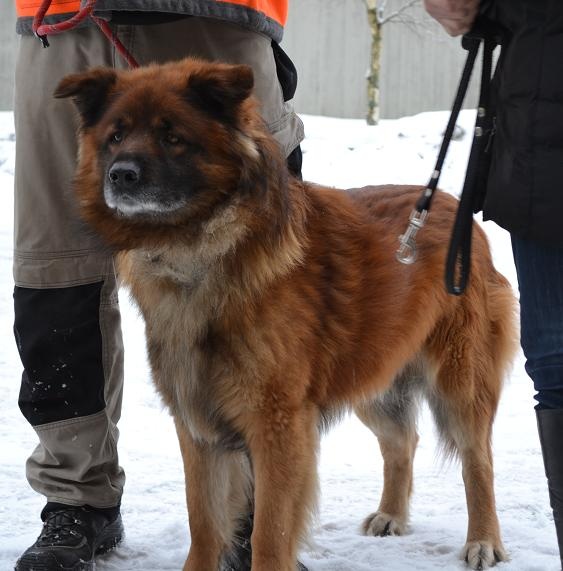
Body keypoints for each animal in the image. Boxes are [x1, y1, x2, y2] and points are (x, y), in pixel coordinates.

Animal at [55, 58, 517, 571]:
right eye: (116, 136)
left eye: (173, 137)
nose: (121, 175)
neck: (204, 251)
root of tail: (458, 212)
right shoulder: (199, 427)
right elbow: (205, 523)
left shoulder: (278, 426)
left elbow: (268, 532)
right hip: (372, 376)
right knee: (402, 442)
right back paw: (391, 514)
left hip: (459, 383)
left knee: (478, 460)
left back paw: (483, 539)